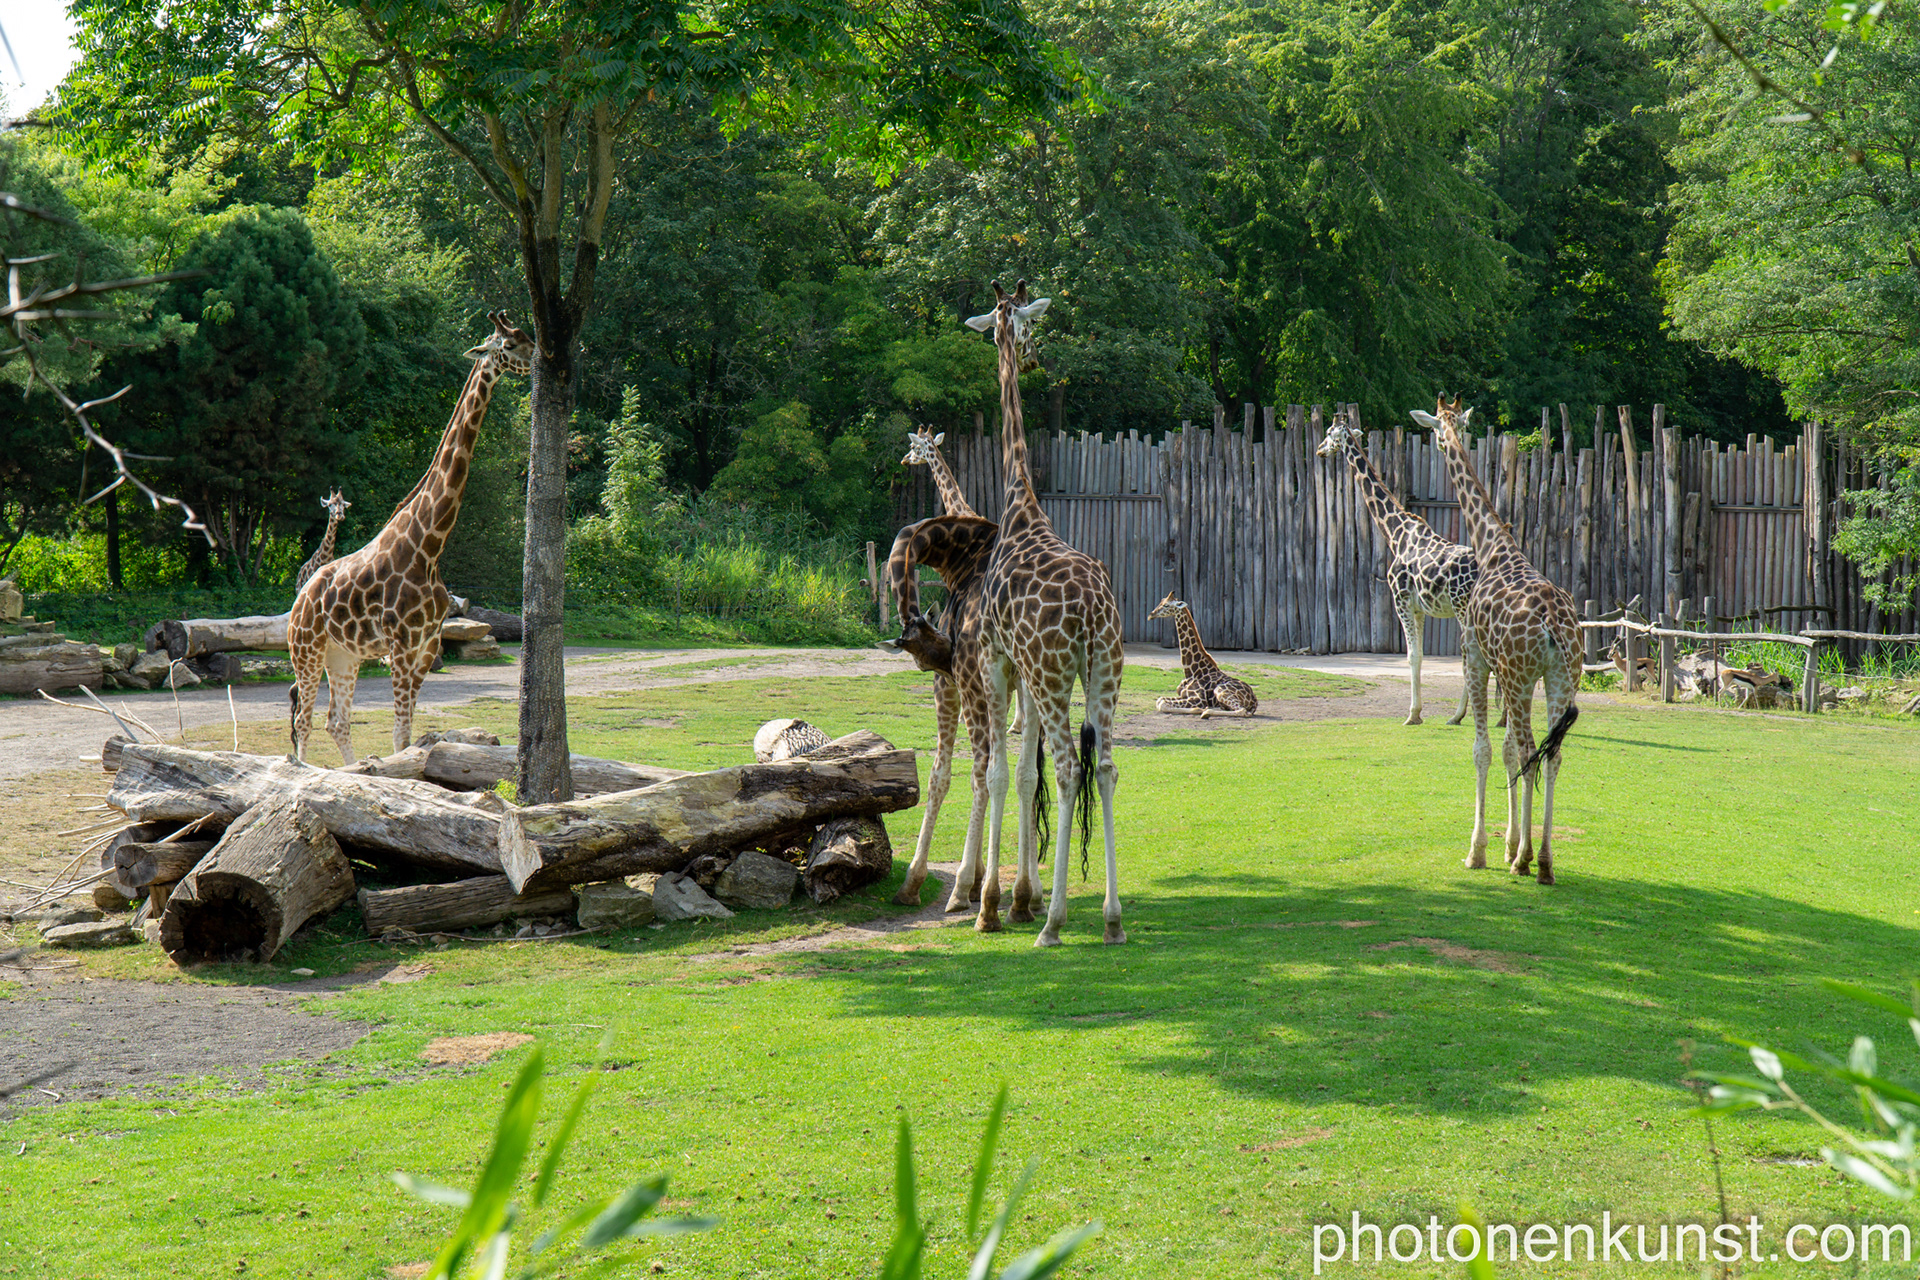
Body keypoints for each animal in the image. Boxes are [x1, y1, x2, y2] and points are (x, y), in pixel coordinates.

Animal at [288, 312, 533, 763]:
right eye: (507, 345)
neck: (430, 546)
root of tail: (299, 599)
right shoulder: (401, 648)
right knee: (303, 720)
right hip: (307, 650)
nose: (539, 356)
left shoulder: (425, 649)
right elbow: (400, 737)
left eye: (526, 335)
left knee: (336, 722)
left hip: (343, 655)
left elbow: (407, 736)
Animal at [1316, 410, 1475, 726]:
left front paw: (1412, 715)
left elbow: (1411, 656)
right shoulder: (1419, 608)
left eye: (1329, 433)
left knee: (1472, 654)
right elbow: (1420, 655)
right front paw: (1418, 712)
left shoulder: (1399, 598)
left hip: (1463, 608)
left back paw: (1459, 714)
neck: (1395, 533)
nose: (1319, 450)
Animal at [1411, 395, 1580, 884]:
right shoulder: (1505, 672)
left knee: (1529, 750)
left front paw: (1481, 850)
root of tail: (1553, 625)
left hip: (1524, 677)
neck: (1492, 548)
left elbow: (1484, 749)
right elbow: (1504, 751)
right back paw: (1544, 862)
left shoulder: (1476, 658)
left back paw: (1528, 861)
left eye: (1434, 429)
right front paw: (1507, 845)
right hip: (1563, 677)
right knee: (1552, 754)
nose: (1441, 440)